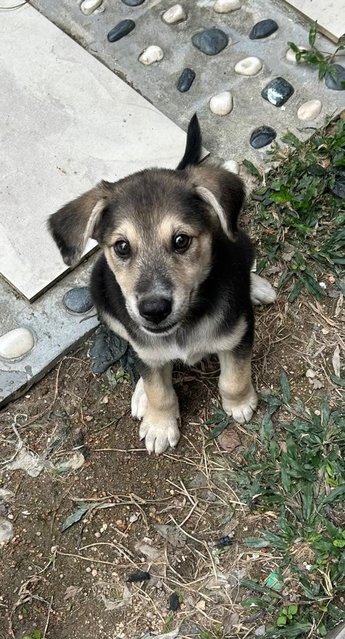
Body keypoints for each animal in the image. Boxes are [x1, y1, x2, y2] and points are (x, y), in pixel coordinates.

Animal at [49, 116, 274, 456]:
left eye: (181, 240)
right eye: (122, 247)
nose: (154, 310)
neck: (186, 324)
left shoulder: (238, 335)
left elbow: (233, 377)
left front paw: (240, 402)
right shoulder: (145, 343)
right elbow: (159, 388)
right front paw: (159, 424)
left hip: (241, 243)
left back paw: (257, 287)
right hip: (102, 294)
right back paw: (141, 393)